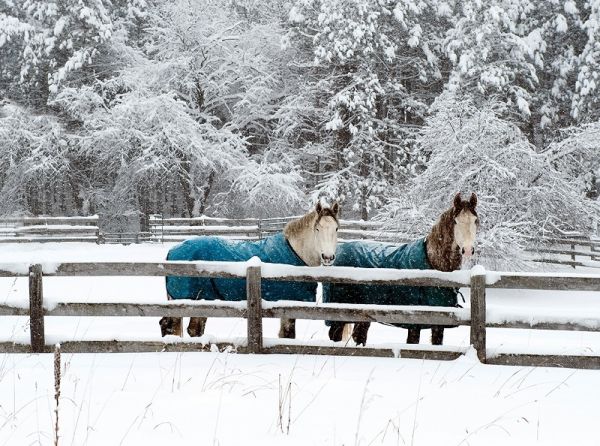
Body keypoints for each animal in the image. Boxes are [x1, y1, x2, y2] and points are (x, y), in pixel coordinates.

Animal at [326, 193, 480, 346]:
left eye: (475, 221)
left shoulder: (440, 322)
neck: (432, 264)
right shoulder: (414, 323)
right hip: (338, 315)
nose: (468, 250)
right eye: (456, 221)